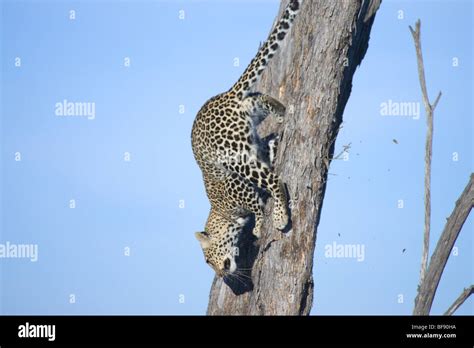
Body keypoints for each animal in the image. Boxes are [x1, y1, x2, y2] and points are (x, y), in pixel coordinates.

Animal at [190, 0, 298, 278]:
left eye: (208, 259)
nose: (220, 274)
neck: (220, 212)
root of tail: (226, 96)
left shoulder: (241, 187)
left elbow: (258, 205)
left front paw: (259, 226)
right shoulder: (261, 149)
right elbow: (271, 147)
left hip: (237, 157)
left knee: (275, 181)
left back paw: (281, 216)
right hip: (251, 114)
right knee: (262, 98)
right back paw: (282, 112)